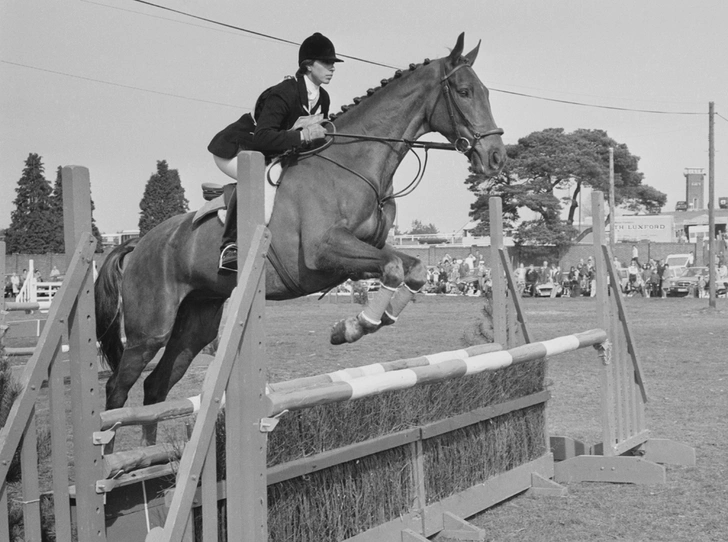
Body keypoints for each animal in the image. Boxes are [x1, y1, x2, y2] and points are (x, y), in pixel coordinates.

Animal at [95, 33, 506, 446]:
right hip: (150, 330)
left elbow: (414, 269)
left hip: (197, 322)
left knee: (156, 387)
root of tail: (139, 244)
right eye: (464, 91)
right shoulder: (323, 254)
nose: (496, 158)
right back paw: (110, 454)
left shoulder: (362, 253)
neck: (354, 163)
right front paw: (351, 328)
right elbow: (392, 269)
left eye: (487, 92)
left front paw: (374, 319)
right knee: (117, 390)